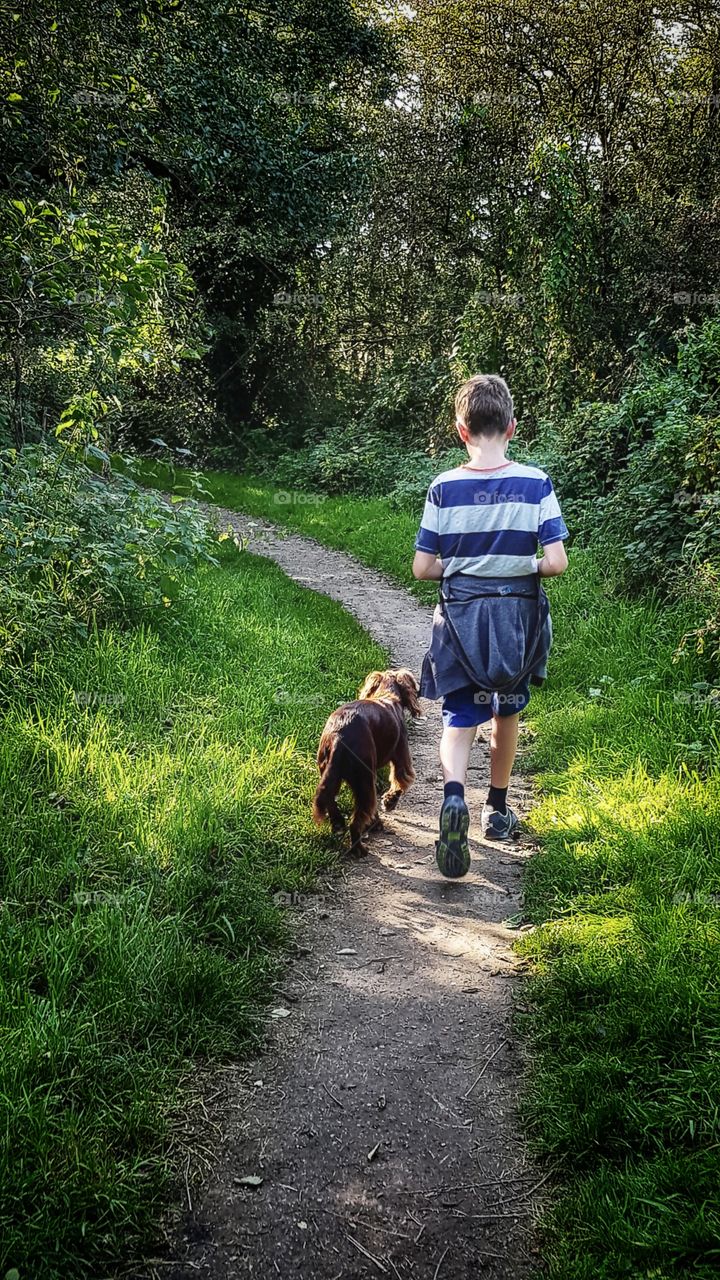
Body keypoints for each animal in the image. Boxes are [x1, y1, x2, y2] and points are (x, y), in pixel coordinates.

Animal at [310, 670, 420, 860]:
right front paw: (389, 802)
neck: (386, 695)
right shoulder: (402, 761)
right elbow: (399, 784)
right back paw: (359, 849)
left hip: (330, 771)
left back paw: (338, 824)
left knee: (330, 800)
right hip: (364, 780)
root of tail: (340, 736)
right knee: (356, 821)